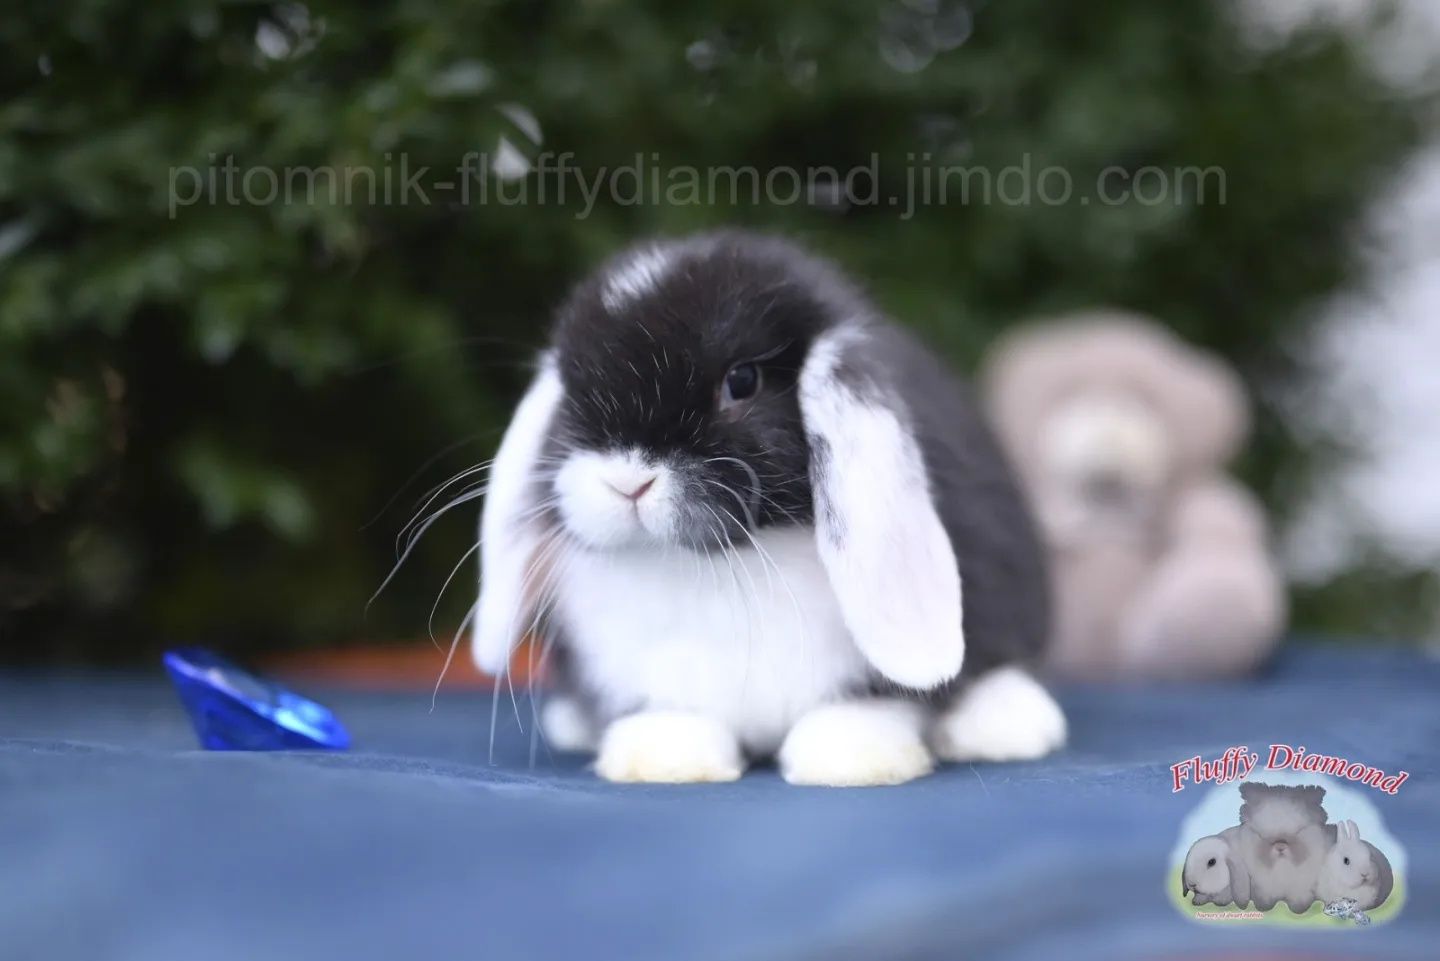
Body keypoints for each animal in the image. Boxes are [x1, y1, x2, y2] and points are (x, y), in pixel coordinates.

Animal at [466, 229, 1065, 783]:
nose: (627, 481)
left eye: (742, 381)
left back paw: (1009, 723)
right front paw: (663, 756)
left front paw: (851, 757)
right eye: (572, 391)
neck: (726, 564)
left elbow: (879, 702)